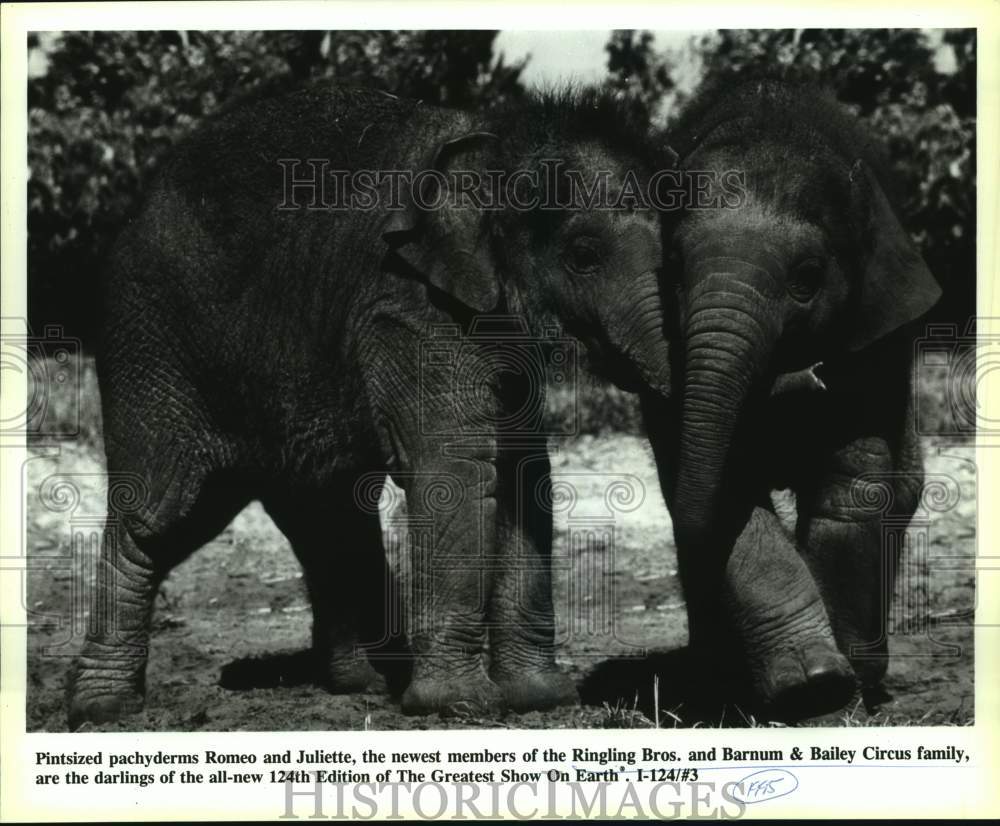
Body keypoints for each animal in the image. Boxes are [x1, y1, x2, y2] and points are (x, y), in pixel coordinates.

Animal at [66, 84, 680, 729]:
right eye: (584, 254)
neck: (498, 141)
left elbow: (521, 471)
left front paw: (540, 699)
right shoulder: (406, 307)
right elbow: (457, 470)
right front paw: (458, 707)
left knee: (324, 510)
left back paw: (361, 683)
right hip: (152, 345)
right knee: (163, 513)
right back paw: (103, 709)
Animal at [640, 76, 941, 717]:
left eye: (806, 279)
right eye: (674, 268)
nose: (810, 376)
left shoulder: (873, 336)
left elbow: (855, 482)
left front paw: (840, 689)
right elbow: (720, 489)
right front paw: (812, 685)